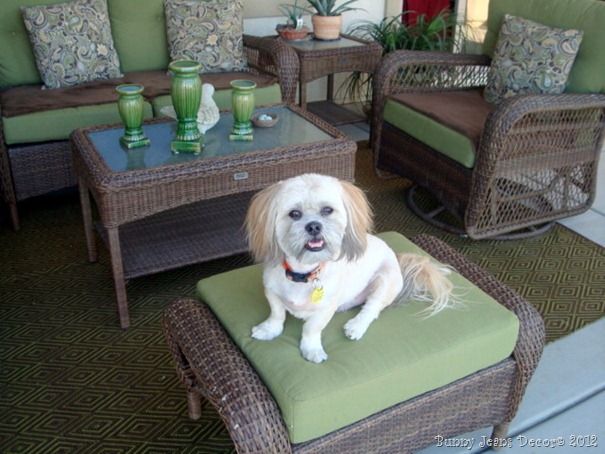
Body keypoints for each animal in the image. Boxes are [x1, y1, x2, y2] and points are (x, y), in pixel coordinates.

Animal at [245, 174, 455, 363]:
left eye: (327, 210)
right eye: (294, 214)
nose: (314, 226)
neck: (304, 271)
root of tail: (396, 256)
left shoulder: (325, 308)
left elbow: (311, 329)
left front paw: (311, 349)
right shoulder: (271, 292)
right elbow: (277, 314)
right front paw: (269, 329)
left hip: (386, 278)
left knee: (373, 308)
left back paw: (356, 326)